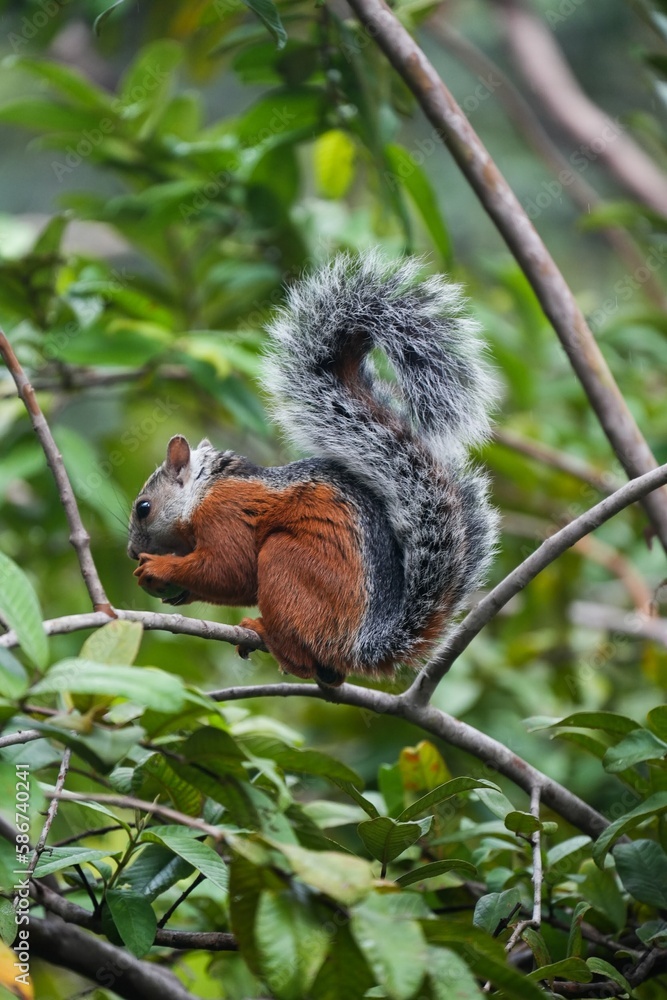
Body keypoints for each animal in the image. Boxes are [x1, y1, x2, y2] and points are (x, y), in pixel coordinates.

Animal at [127, 252, 499, 687]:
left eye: (144, 508)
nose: (132, 551)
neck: (206, 488)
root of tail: (359, 645)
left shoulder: (225, 513)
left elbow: (230, 569)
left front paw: (163, 567)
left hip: (288, 564)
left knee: (301, 650)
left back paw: (264, 634)